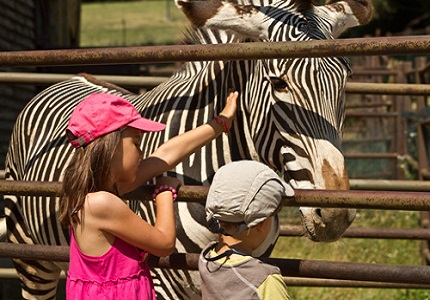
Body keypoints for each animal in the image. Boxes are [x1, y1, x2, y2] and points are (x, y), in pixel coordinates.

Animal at [4, 0, 372, 298]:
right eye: (278, 82)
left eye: (345, 80)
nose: (336, 215)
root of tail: (73, 77)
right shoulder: (159, 277)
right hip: (30, 255)